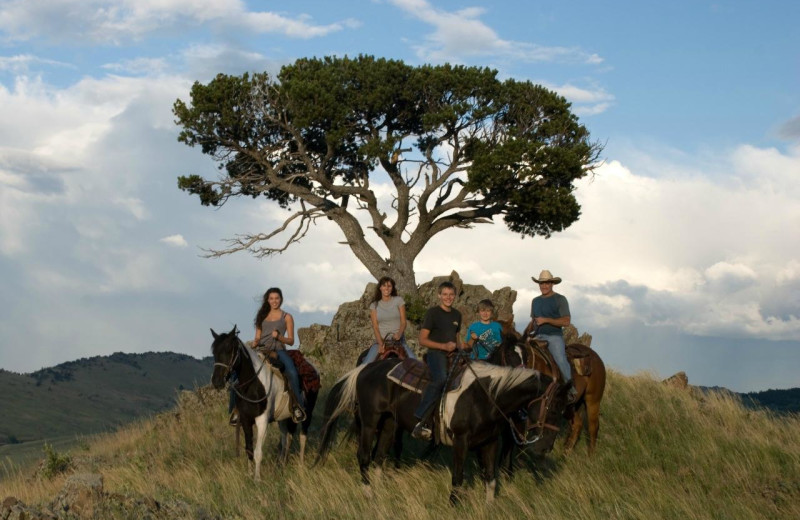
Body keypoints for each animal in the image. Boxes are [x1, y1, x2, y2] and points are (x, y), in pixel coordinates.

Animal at [209, 324, 318, 480]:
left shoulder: (262, 420)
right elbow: (249, 449)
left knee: (302, 436)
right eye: (214, 352)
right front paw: (249, 474)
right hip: (283, 417)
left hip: (308, 412)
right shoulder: (245, 420)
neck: (253, 385)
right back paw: (281, 465)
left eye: (230, 350)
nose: (216, 382)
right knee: (286, 438)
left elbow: (258, 452)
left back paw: (301, 465)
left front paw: (257, 479)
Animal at [316, 358, 572, 504]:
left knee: (379, 458)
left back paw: (380, 492)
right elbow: (458, 477)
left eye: (564, 410)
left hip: (389, 425)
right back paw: (368, 494)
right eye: (553, 407)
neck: (485, 396)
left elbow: (490, 479)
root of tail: (363, 369)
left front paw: (489, 507)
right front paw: (453, 505)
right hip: (370, 422)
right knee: (364, 457)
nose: (545, 447)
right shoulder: (461, 441)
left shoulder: (489, 443)